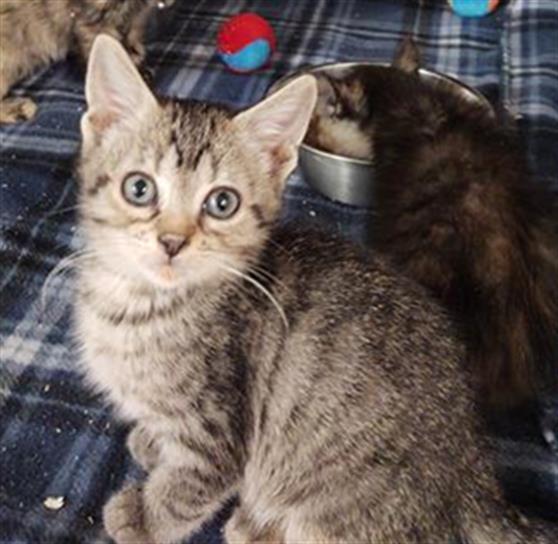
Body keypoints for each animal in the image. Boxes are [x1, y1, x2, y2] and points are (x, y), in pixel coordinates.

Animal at [0, 0, 174, 124]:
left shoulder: (135, 15)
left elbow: (132, 30)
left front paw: (135, 58)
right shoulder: (94, 18)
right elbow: (109, 46)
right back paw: (15, 108)